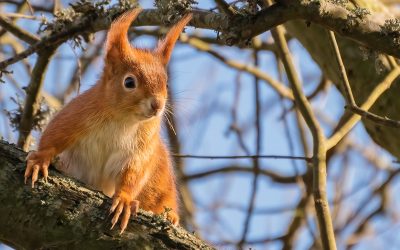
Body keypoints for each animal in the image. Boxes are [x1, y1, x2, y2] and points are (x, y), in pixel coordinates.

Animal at [23, 8, 192, 233]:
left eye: (166, 83)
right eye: (129, 82)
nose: (157, 105)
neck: (123, 119)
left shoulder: (142, 146)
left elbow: (134, 173)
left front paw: (124, 200)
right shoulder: (75, 115)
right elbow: (54, 135)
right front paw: (40, 160)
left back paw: (171, 216)